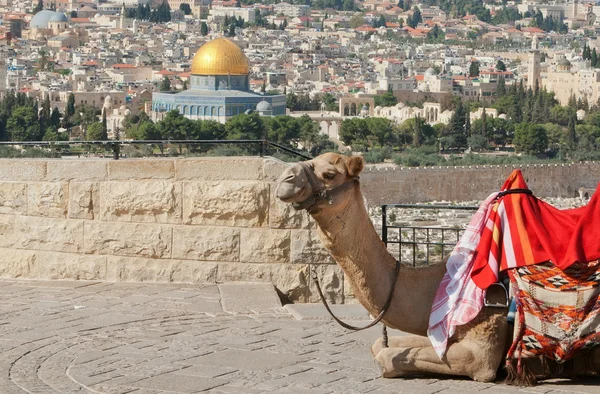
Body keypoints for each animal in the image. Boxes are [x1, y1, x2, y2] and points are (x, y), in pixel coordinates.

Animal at [276, 152, 600, 382]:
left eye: (329, 173)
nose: (285, 179)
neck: (437, 281)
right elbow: (381, 345)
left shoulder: (482, 349)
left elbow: (387, 357)